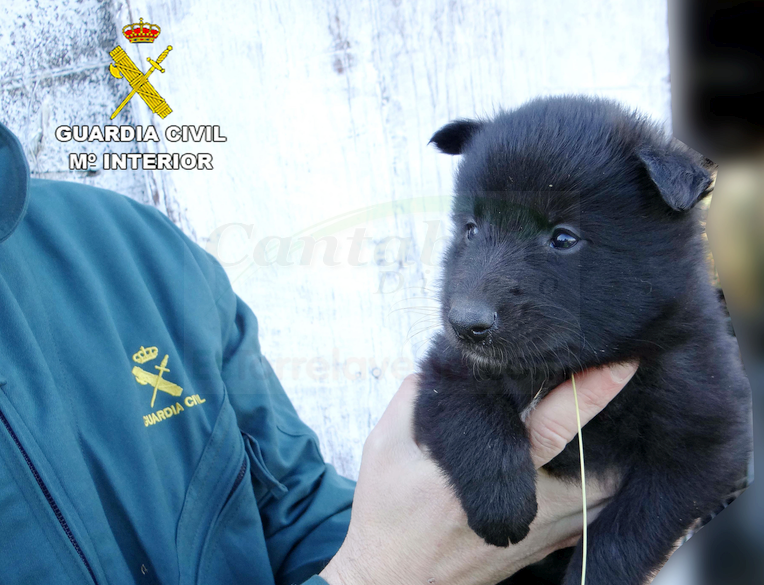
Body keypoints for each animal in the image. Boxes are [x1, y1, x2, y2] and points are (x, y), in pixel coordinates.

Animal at [414, 97, 748, 584]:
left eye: (564, 238)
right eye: (471, 229)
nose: (465, 322)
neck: (564, 367)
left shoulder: (707, 439)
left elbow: (631, 527)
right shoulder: (445, 368)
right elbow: (467, 414)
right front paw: (503, 505)